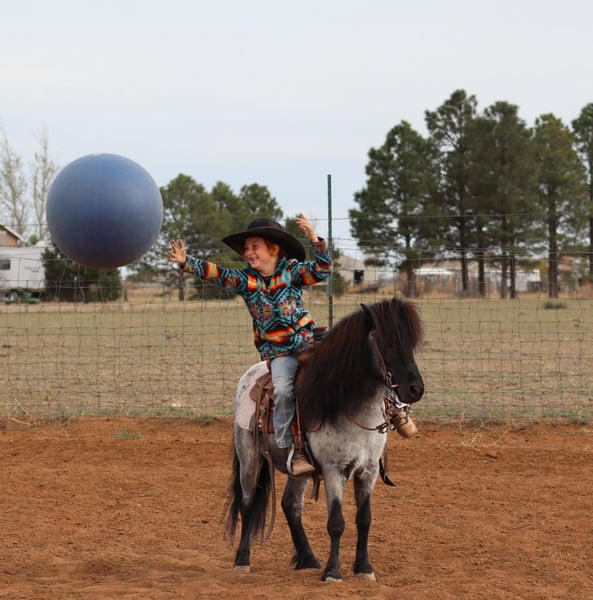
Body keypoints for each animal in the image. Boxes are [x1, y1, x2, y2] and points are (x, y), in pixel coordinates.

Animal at [225, 297, 425, 582]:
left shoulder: (369, 470)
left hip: (299, 470)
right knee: (247, 503)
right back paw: (242, 560)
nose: (415, 389)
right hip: (249, 457)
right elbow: (336, 522)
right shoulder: (333, 470)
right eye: (387, 342)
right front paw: (333, 572)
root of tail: (250, 376)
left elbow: (364, 518)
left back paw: (308, 558)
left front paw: (364, 568)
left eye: (411, 343)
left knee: (290, 505)